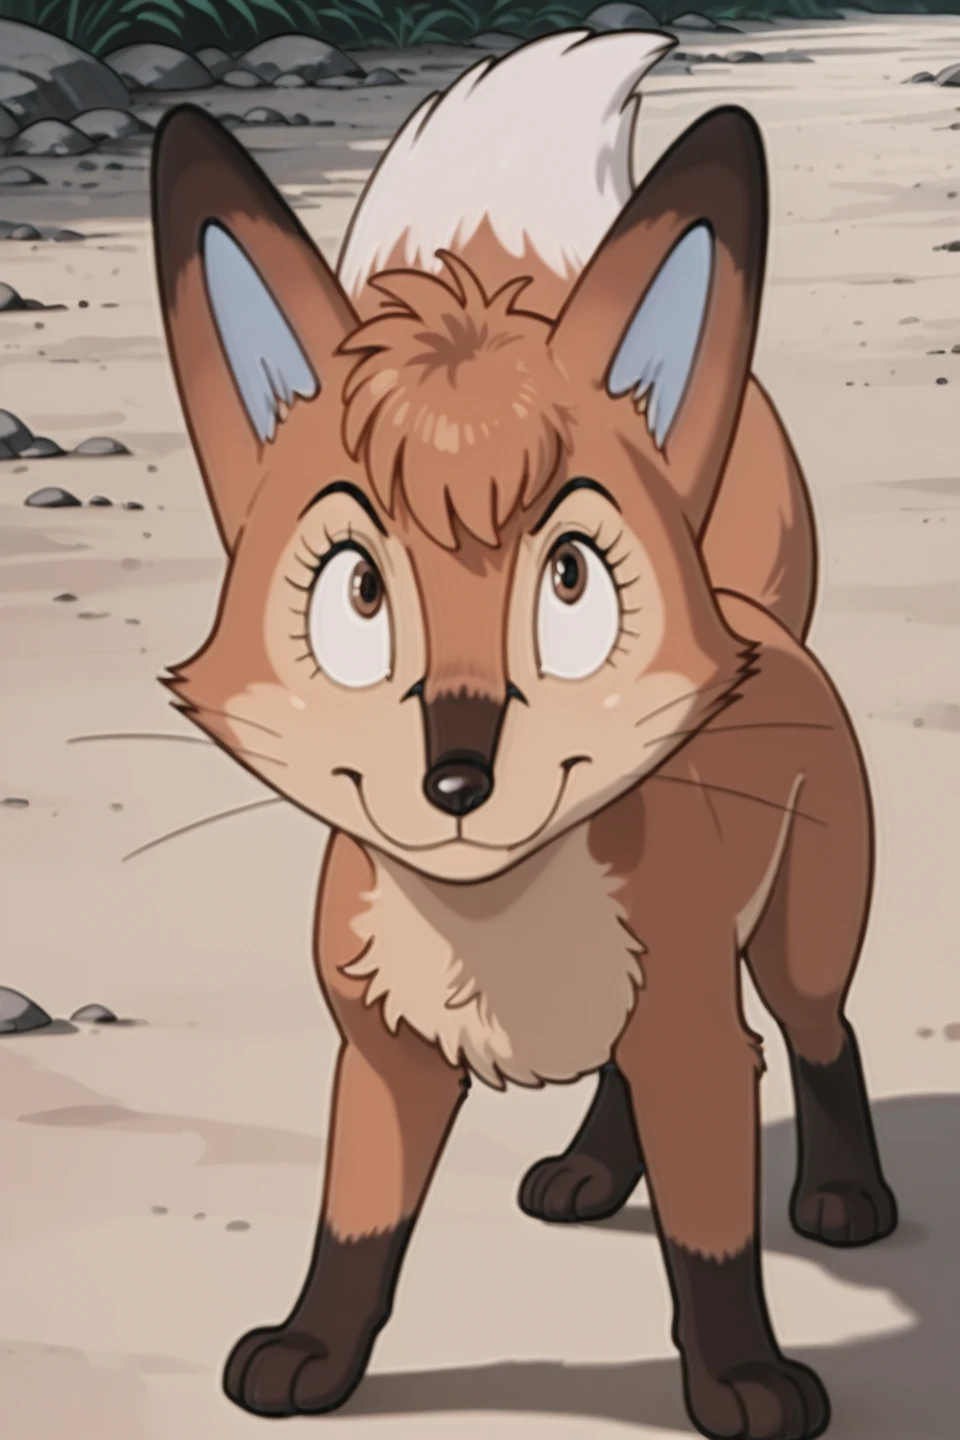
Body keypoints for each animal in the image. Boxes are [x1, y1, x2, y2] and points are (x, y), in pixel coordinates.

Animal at [150, 27, 898, 1440]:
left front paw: (740, 1380)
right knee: (619, 1088)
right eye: (358, 593)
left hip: (800, 943)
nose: (457, 772)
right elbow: (355, 1234)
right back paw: (594, 1173)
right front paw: (315, 1354)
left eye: (570, 586)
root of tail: (761, 614)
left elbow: (714, 1243)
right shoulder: (384, 1061)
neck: (494, 934)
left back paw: (846, 1197)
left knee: (824, 1039)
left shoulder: (695, 1043)